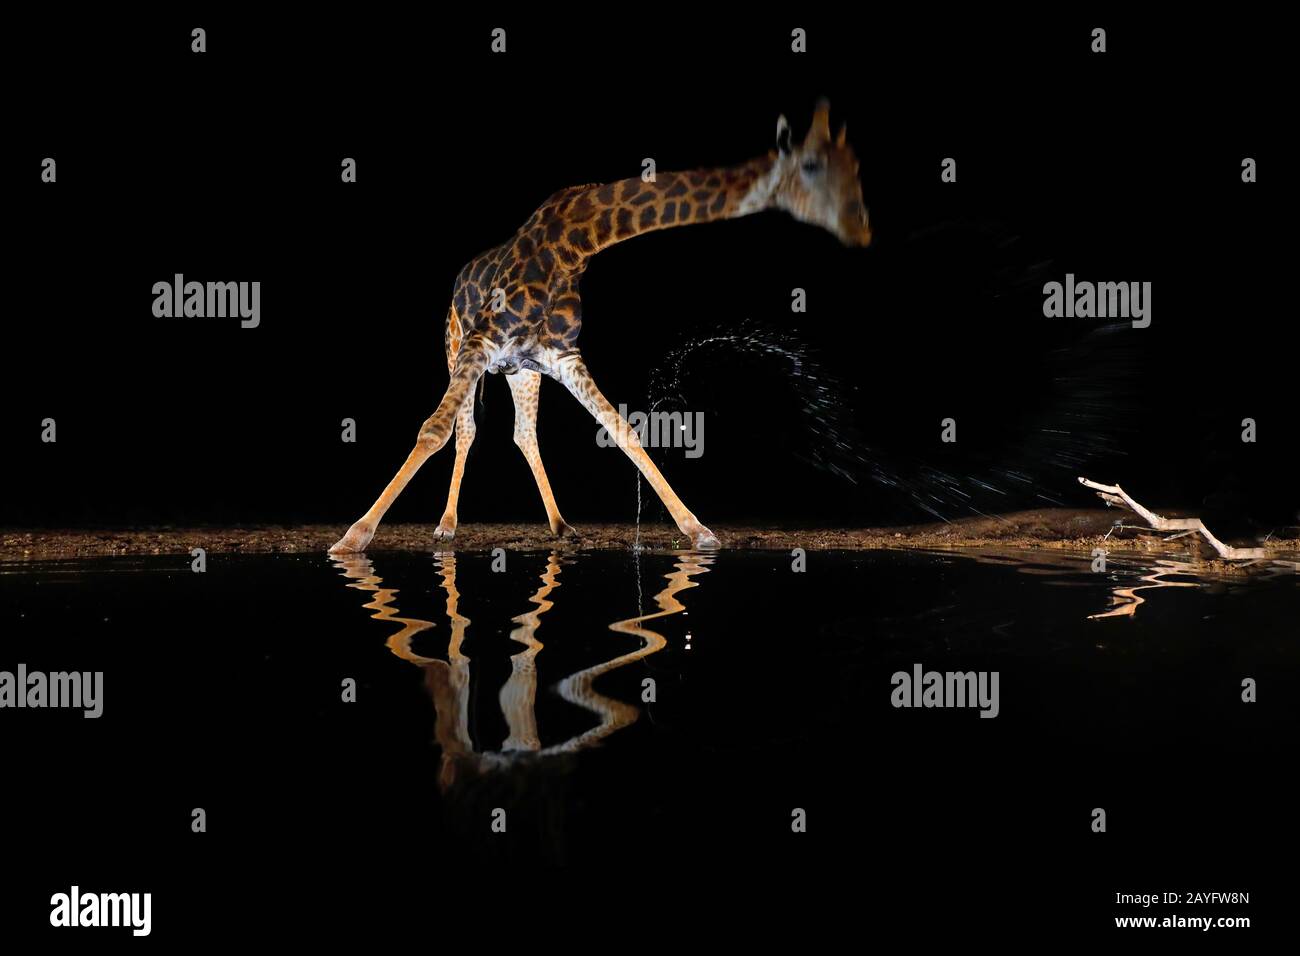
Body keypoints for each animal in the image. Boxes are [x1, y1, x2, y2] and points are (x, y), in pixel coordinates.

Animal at [330, 100, 871, 554]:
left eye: (857, 169)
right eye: (811, 166)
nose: (861, 229)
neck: (576, 243)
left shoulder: (561, 358)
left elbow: (624, 429)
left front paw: (697, 530)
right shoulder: (482, 341)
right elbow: (433, 429)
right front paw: (353, 537)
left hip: (520, 372)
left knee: (523, 434)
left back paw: (561, 525)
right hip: (456, 342)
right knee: (464, 430)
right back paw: (445, 526)